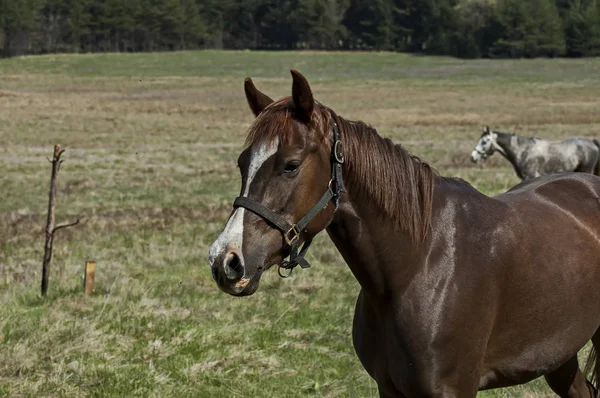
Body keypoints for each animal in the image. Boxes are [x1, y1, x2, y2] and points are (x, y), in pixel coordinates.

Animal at [207, 70, 600, 396]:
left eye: (290, 165)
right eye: (243, 163)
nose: (225, 261)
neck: (419, 263)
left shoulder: (454, 390)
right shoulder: (390, 388)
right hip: (558, 356)